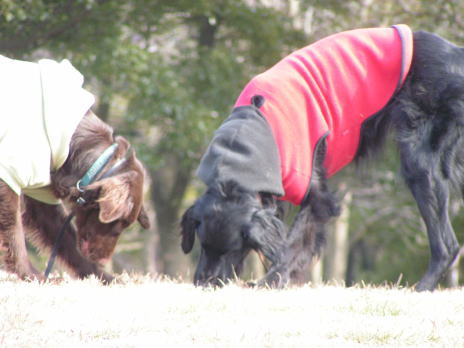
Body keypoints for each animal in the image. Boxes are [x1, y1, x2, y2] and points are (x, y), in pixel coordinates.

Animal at [0, 55, 149, 282]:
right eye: (119, 223)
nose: (104, 260)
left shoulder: (40, 198)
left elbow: (65, 239)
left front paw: (104, 278)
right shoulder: (8, 174)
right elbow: (13, 230)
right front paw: (29, 273)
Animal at [181, 25, 464, 290]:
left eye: (231, 248)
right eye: (202, 244)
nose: (204, 283)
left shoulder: (317, 197)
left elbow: (293, 243)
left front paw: (271, 280)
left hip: (419, 162)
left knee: (447, 245)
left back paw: (422, 287)